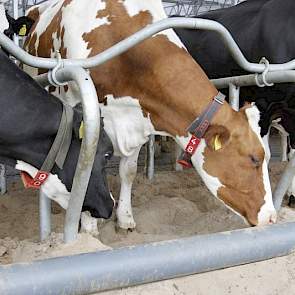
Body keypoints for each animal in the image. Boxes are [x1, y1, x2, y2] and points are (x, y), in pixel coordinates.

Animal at [24, 0, 278, 231]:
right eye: (254, 159)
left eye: (266, 158)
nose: (272, 217)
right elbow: (82, 168)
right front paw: (88, 225)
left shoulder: (139, 120)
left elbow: (128, 171)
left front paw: (125, 218)